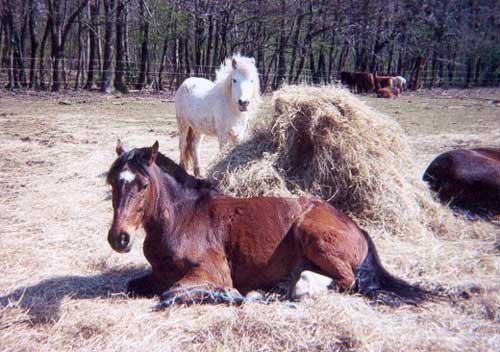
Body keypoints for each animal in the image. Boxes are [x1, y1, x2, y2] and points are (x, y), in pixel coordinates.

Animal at [106, 141, 434, 308]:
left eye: (143, 185)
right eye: (112, 182)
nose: (119, 238)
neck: (183, 217)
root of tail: (358, 229)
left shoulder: (210, 273)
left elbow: (170, 295)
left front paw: (230, 295)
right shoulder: (159, 274)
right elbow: (137, 286)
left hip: (312, 233)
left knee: (345, 281)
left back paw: (288, 290)